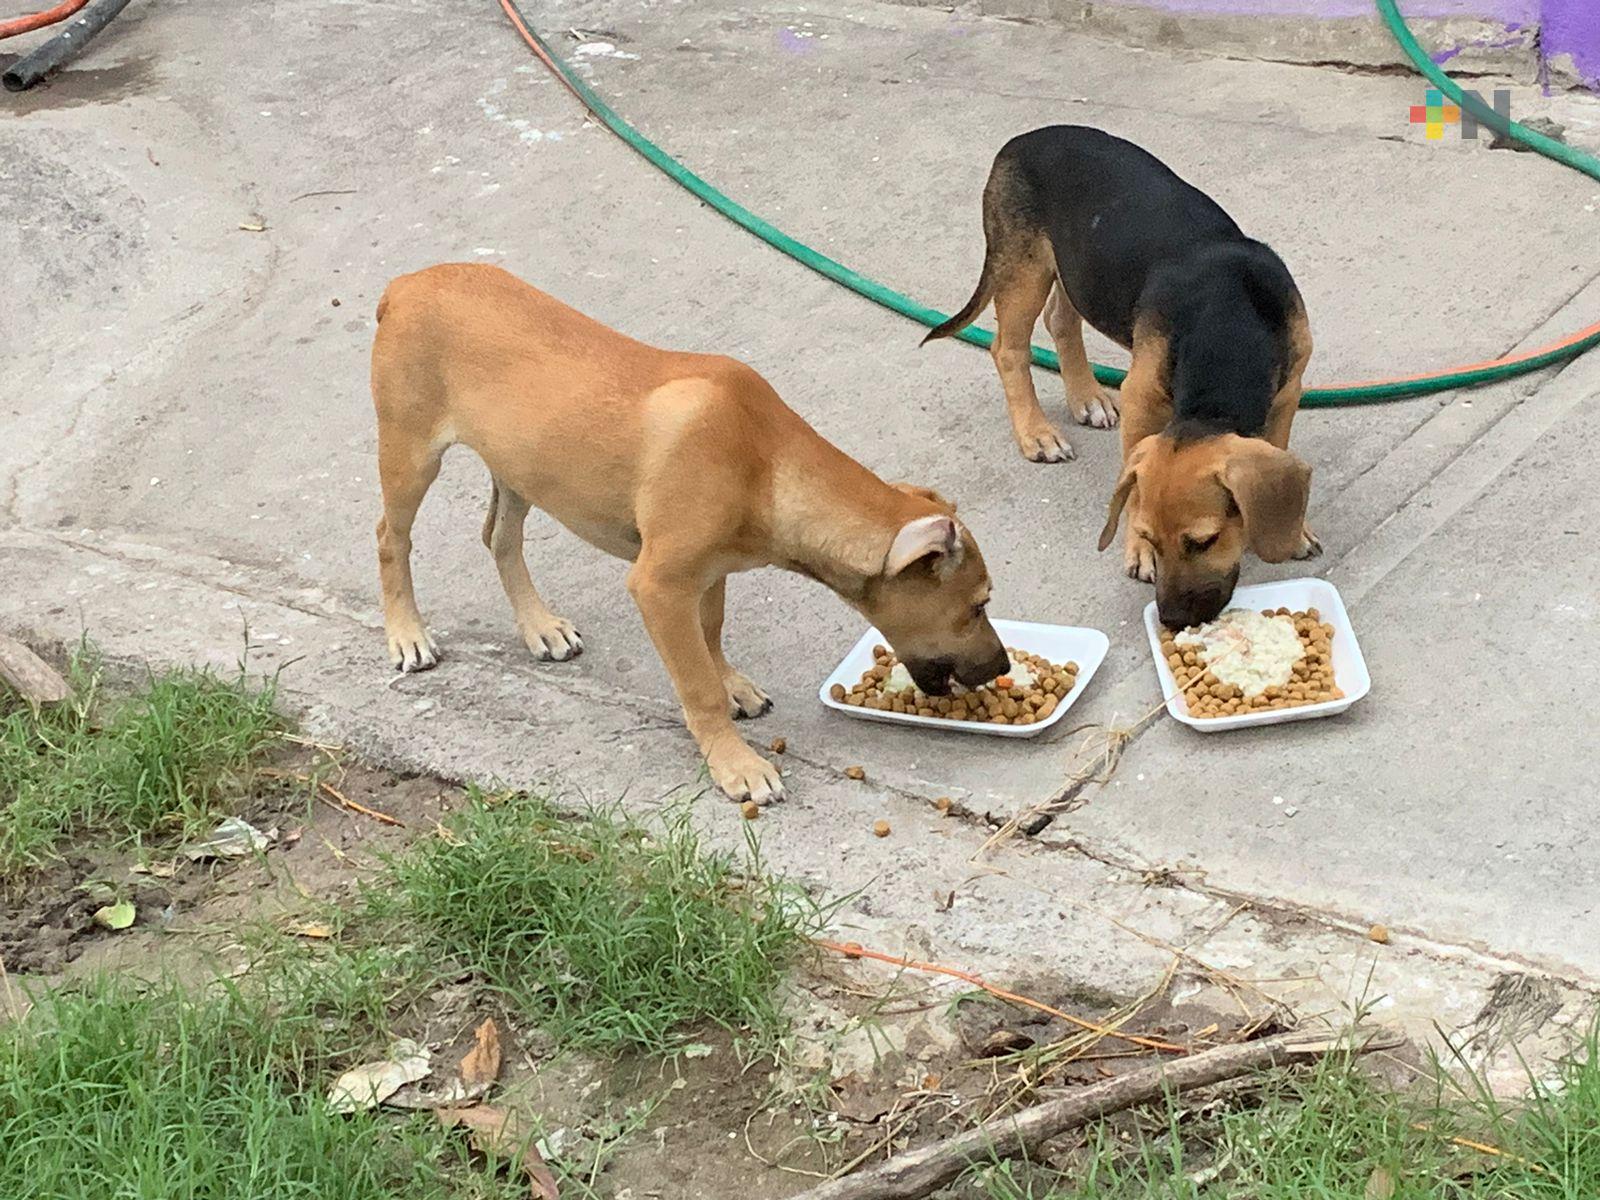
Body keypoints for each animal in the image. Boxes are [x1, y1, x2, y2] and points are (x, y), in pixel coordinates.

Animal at [921, 125, 1318, 630]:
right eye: (1150, 536)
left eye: (1202, 542)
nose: (1170, 620)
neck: (1228, 321)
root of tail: (1021, 139)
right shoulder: (1141, 398)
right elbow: (1132, 482)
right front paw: (1136, 554)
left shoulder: (1288, 392)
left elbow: (1277, 444)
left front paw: (1294, 530)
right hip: (1024, 267)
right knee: (1008, 349)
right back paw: (1037, 433)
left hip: (1075, 271)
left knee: (1059, 320)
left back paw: (1086, 397)